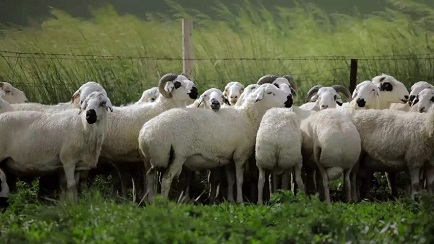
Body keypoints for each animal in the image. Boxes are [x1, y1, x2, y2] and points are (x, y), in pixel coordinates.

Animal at [139, 83, 294, 203]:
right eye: (270, 92)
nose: (289, 100)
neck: (248, 117)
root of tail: (145, 135)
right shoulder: (240, 155)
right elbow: (239, 179)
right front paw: (240, 200)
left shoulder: (229, 157)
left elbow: (231, 179)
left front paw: (231, 200)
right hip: (178, 155)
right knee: (166, 180)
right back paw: (164, 204)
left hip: (153, 159)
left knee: (150, 178)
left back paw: (151, 202)